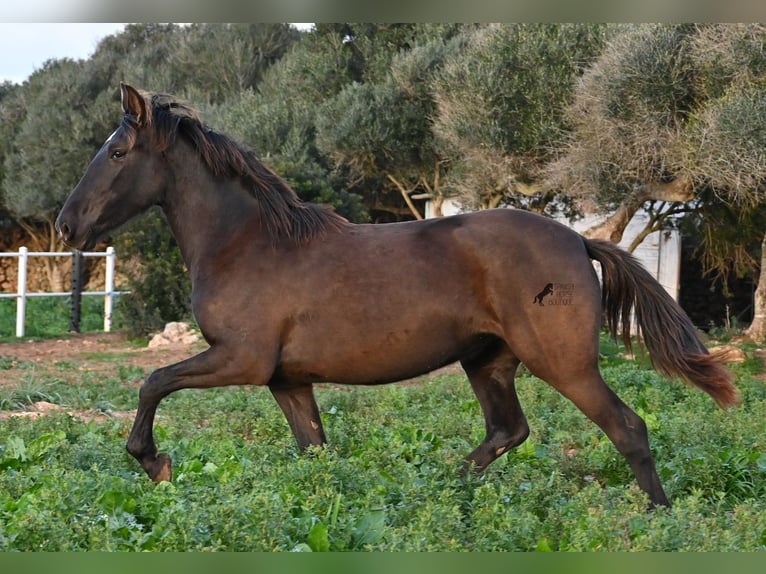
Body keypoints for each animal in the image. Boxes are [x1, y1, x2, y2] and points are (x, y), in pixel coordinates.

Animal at [54, 82, 736, 508]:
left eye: (118, 151)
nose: (66, 226)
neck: (246, 242)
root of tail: (579, 241)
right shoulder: (286, 380)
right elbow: (315, 452)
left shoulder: (240, 360)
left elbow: (152, 382)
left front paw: (155, 463)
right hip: (487, 361)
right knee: (508, 430)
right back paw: (442, 494)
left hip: (564, 363)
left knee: (628, 428)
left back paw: (660, 520)